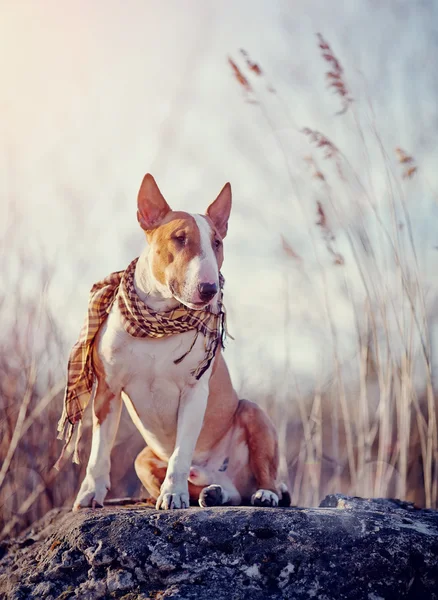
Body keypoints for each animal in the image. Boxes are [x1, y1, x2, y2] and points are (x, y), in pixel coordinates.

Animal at [73, 175, 290, 510]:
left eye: (217, 242)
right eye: (179, 238)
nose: (210, 289)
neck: (159, 322)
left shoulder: (193, 391)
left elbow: (180, 454)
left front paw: (172, 495)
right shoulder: (108, 390)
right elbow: (99, 451)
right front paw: (89, 493)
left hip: (254, 414)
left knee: (265, 477)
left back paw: (262, 494)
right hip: (142, 459)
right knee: (221, 489)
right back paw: (212, 493)